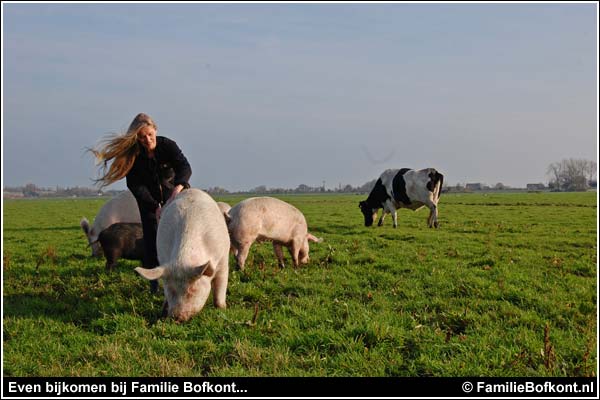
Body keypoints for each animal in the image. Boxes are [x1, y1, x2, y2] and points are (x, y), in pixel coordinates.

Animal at [135, 188, 230, 322]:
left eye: (193, 289)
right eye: (169, 289)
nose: (176, 317)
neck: (183, 259)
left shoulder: (223, 260)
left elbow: (220, 287)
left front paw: (222, 309)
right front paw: (163, 311)